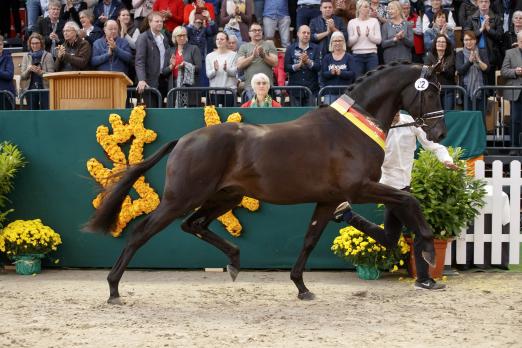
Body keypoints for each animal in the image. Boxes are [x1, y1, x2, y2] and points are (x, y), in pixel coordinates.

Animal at [85, 61, 442, 304]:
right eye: (432, 91)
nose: (438, 133)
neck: (351, 129)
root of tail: (184, 140)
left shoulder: (329, 199)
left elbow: (310, 240)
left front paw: (301, 287)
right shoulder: (360, 188)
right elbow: (409, 199)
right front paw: (427, 250)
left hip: (224, 198)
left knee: (193, 225)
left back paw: (234, 261)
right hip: (181, 199)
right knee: (142, 232)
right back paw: (113, 288)